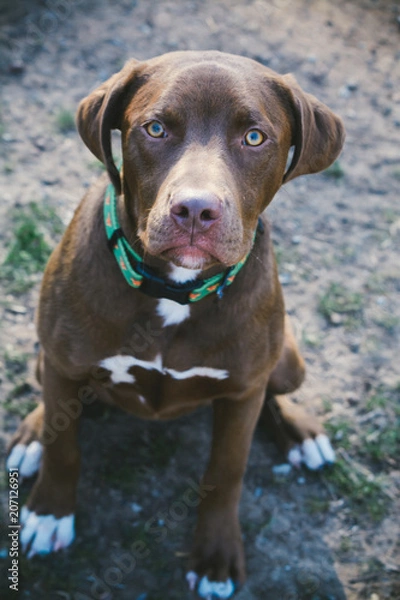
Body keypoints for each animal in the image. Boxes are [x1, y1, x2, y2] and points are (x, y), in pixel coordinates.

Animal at [6, 50, 344, 596]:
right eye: (156, 128)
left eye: (255, 137)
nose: (196, 209)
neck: (176, 292)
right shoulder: (63, 362)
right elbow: (64, 446)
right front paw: (50, 513)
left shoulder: (242, 393)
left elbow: (227, 472)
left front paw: (215, 556)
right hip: (48, 358)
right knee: (53, 403)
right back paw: (31, 436)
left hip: (289, 361)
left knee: (276, 390)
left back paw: (300, 433)